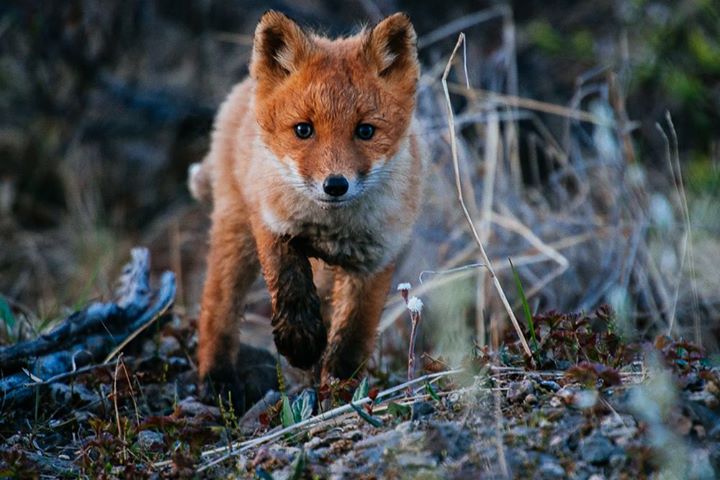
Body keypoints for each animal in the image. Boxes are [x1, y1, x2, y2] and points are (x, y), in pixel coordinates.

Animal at [188, 10, 426, 407]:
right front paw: (299, 340)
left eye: (365, 131)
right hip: (235, 232)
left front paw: (341, 391)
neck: (332, 228)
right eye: (303, 129)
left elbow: (352, 337)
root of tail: (241, 90)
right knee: (216, 308)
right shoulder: (272, 221)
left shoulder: (375, 259)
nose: (336, 185)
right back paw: (217, 378)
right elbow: (288, 280)